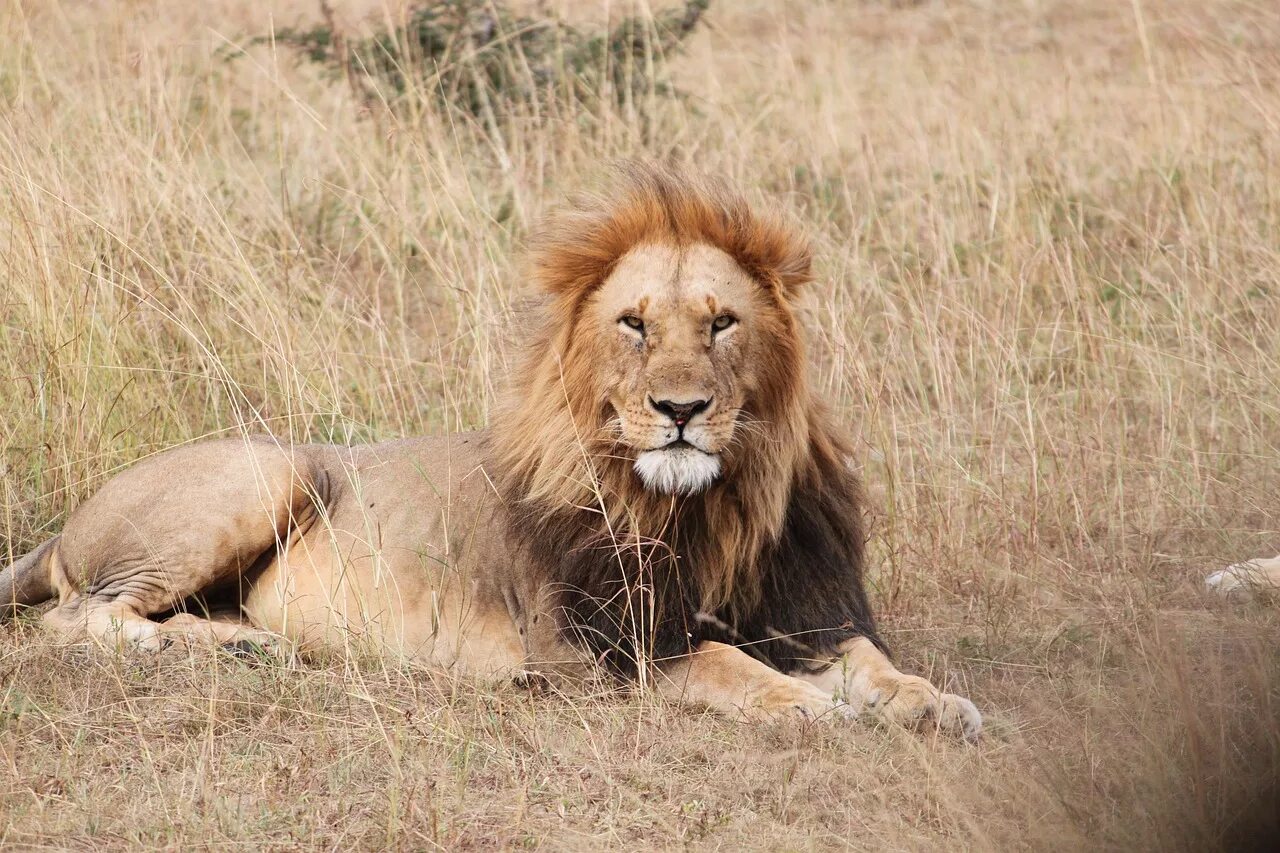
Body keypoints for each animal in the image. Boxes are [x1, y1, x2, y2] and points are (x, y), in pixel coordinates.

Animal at [0, 163, 977, 737]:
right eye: (635, 323)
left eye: (721, 322)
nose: (681, 409)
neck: (712, 507)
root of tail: (65, 524)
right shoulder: (598, 649)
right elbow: (726, 664)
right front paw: (806, 704)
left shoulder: (804, 609)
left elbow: (871, 661)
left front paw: (932, 700)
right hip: (264, 471)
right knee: (77, 617)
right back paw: (206, 648)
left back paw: (247, 643)